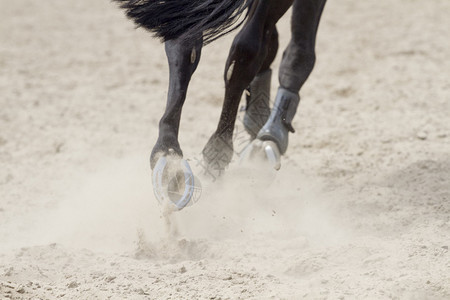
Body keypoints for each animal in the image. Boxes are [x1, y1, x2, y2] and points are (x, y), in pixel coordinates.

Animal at [115, 0, 326, 206]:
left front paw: (257, 117)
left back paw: (168, 155)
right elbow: (297, 50)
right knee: (247, 48)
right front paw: (268, 132)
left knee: (186, 38)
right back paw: (215, 156)